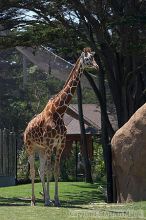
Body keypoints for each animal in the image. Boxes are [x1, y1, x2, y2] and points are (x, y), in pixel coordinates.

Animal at [23, 46, 98, 206]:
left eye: (94, 58)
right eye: (88, 59)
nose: (97, 67)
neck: (60, 111)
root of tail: (26, 129)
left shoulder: (60, 144)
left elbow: (55, 171)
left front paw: (55, 200)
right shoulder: (50, 144)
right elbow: (49, 170)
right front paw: (48, 200)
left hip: (41, 149)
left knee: (40, 170)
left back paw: (45, 197)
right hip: (30, 147)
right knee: (33, 170)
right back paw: (33, 200)